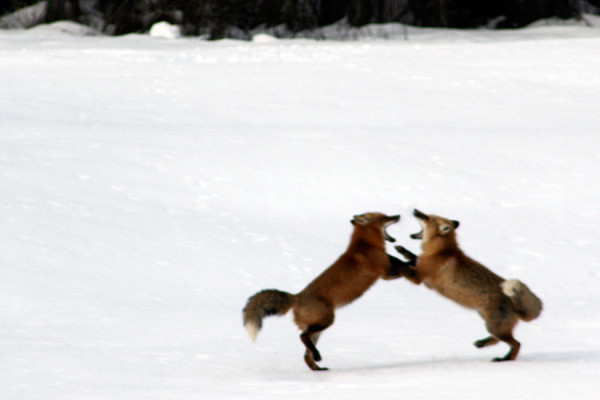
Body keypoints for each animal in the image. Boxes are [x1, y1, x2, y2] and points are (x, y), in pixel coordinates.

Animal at [242, 212, 415, 371]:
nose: (398, 215)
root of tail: (297, 297)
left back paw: (317, 367)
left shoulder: (386, 270)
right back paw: (318, 357)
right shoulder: (385, 273)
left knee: (306, 354)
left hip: (318, 329)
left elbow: (401, 262)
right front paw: (410, 260)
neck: (365, 245)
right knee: (302, 337)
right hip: (327, 321)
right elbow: (403, 266)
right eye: (385, 216)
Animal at [395, 209, 542, 362]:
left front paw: (393, 259)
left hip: (493, 326)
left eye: (428, 218)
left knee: (517, 343)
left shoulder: (418, 277)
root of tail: (514, 302)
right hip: (490, 323)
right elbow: (413, 257)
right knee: (500, 340)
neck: (442, 250)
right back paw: (483, 344)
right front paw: (401, 250)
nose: (415, 210)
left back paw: (504, 359)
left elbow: (403, 265)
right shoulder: (421, 267)